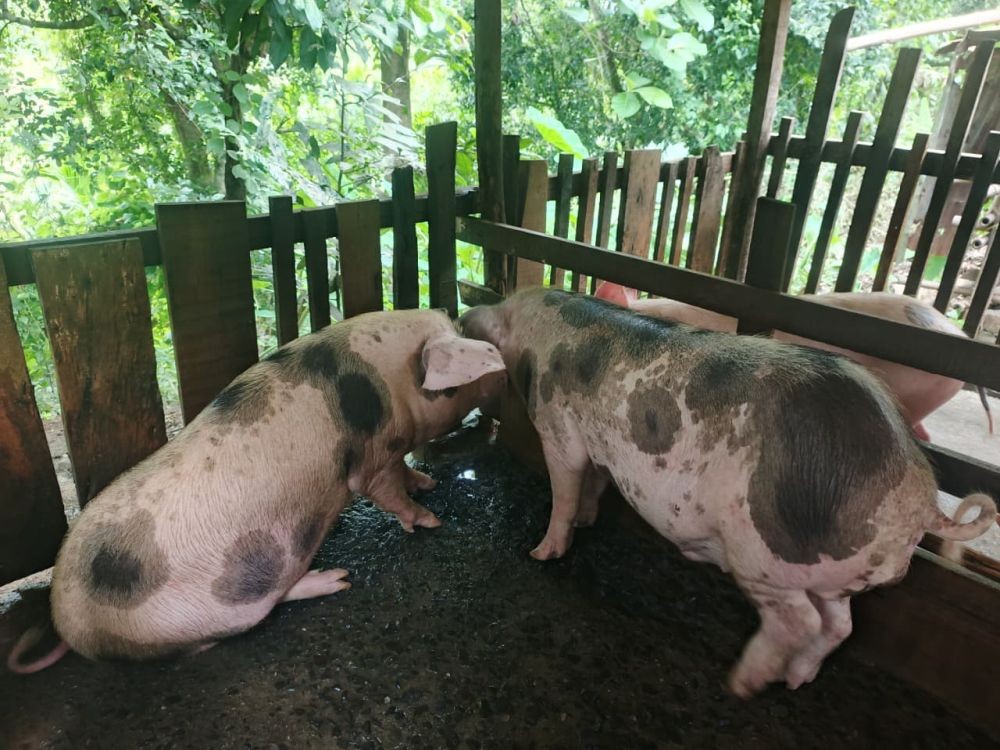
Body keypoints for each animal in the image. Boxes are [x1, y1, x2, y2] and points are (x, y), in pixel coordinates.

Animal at [7, 309, 506, 673]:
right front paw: (429, 520)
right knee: (263, 607)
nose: (503, 375)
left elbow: (404, 472)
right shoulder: (372, 454)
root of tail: (67, 622)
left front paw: (428, 482)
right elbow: (386, 491)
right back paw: (338, 579)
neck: (390, 382)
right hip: (220, 605)